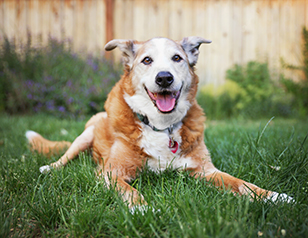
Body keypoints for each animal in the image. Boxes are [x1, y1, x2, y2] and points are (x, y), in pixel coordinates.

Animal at [25, 36, 292, 212]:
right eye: (146, 60)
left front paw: (273, 196)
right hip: (86, 135)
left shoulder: (205, 171)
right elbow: (129, 190)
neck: (162, 127)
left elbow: (241, 184)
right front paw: (143, 209)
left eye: (177, 58)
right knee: (65, 156)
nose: (164, 78)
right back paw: (49, 168)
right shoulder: (110, 173)